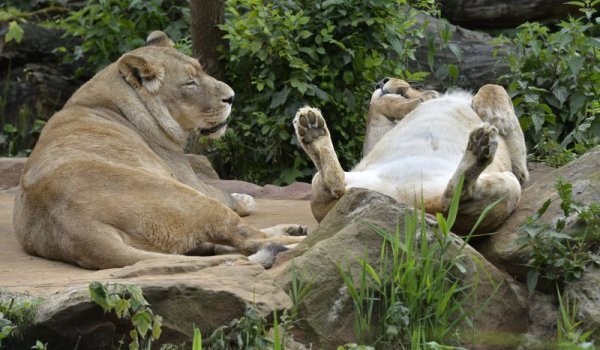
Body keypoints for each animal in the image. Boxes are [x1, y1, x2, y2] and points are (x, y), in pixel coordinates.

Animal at [12, 31, 304, 270]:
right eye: (190, 83)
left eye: (202, 71)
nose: (231, 97)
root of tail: (80, 230)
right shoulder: (188, 177)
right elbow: (223, 194)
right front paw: (244, 199)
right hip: (187, 198)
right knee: (247, 238)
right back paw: (297, 241)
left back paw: (293, 230)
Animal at [296, 79, 528, 232]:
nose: (381, 81)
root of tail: (408, 204)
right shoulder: (373, 141)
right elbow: (377, 104)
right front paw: (424, 99)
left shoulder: (519, 170)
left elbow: (494, 88)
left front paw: (497, 114)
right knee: (335, 184)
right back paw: (312, 131)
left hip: (511, 186)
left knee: (454, 198)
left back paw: (480, 147)